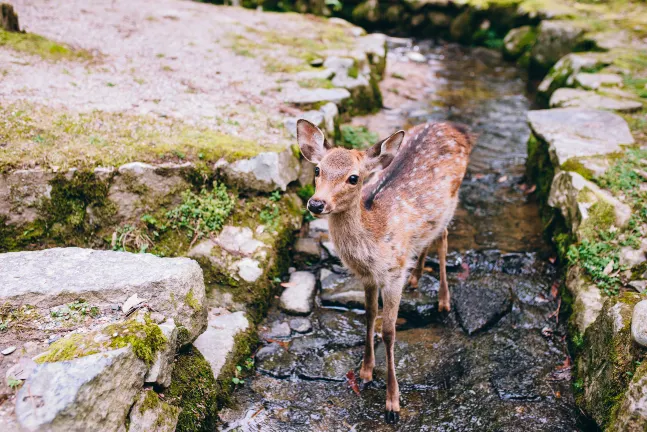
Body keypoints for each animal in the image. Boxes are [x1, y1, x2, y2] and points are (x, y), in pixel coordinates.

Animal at [296, 119, 474, 426]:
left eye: (353, 178)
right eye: (317, 170)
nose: (316, 203)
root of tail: (457, 128)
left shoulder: (393, 273)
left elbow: (389, 331)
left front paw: (392, 404)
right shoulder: (368, 277)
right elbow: (369, 316)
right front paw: (365, 371)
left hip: (452, 200)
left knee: (443, 236)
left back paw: (443, 300)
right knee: (429, 237)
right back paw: (416, 277)